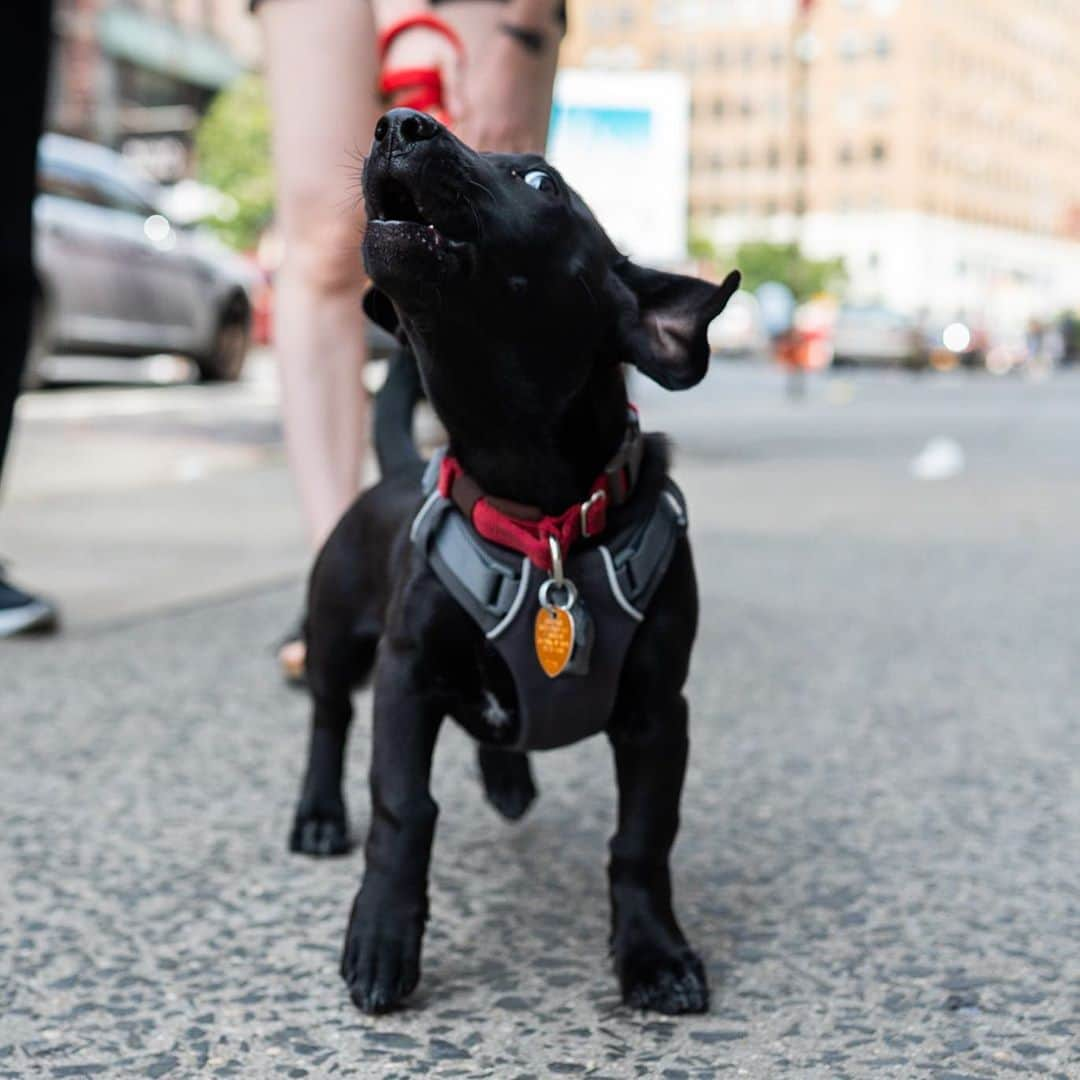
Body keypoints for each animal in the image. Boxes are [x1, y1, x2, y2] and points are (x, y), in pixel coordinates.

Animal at [291, 113, 738, 1015]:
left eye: (541, 183)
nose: (398, 123)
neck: (541, 515)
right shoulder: (405, 678)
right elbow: (401, 810)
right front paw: (382, 937)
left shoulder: (657, 715)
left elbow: (642, 840)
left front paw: (654, 953)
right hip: (333, 637)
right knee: (328, 719)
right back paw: (320, 813)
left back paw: (507, 774)